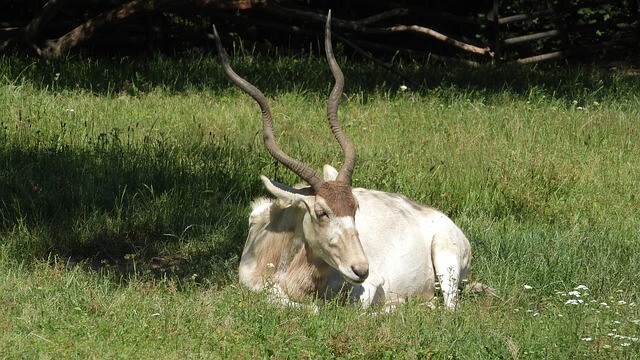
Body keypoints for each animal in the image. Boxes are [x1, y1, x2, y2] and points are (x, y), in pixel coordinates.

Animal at [214, 13, 484, 310]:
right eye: (321, 212)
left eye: (355, 208)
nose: (360, 269)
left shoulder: (370, 287)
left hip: (446, 261)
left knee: (448, 306)